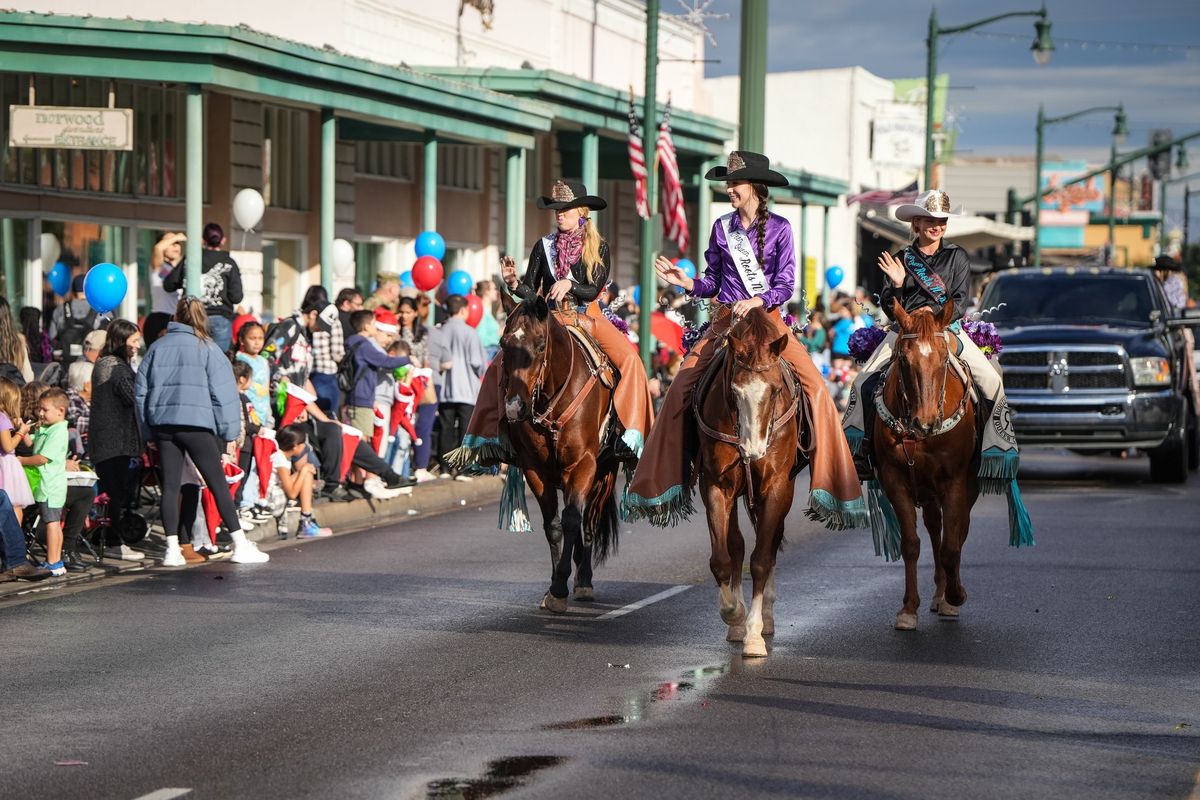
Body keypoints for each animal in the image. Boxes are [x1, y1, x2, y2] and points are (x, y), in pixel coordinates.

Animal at [494, 293, 619, 614]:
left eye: (540, 345)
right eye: (503, 343)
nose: (514, 407)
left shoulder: (583, 464)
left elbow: (573, 519)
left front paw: (562, 585)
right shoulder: (535, 469)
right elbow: (553, 526)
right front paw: (553, 587)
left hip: (605, 473)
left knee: (589, 523)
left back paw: (583, 578)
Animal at [696, 307, 806, 657]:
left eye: (775, 390)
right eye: (735, 391)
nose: (753, 449)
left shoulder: (777, 487)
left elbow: (761, 560)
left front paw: (754, 633)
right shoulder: (717, 486)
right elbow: (722, 559)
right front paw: (734, 613)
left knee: (768, 544)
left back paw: (766, 618)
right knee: (738, 545)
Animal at [878, 299, 979, 633]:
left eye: (944, 359)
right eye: (903, 360)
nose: (925, 422)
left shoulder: (956, 482)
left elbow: (952, 545)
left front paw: (956, 595)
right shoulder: (894, 480)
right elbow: (911, 543)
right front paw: (909, 608)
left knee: (957, 531)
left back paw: (947, 596)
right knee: (936, 527)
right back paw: (938, 592)